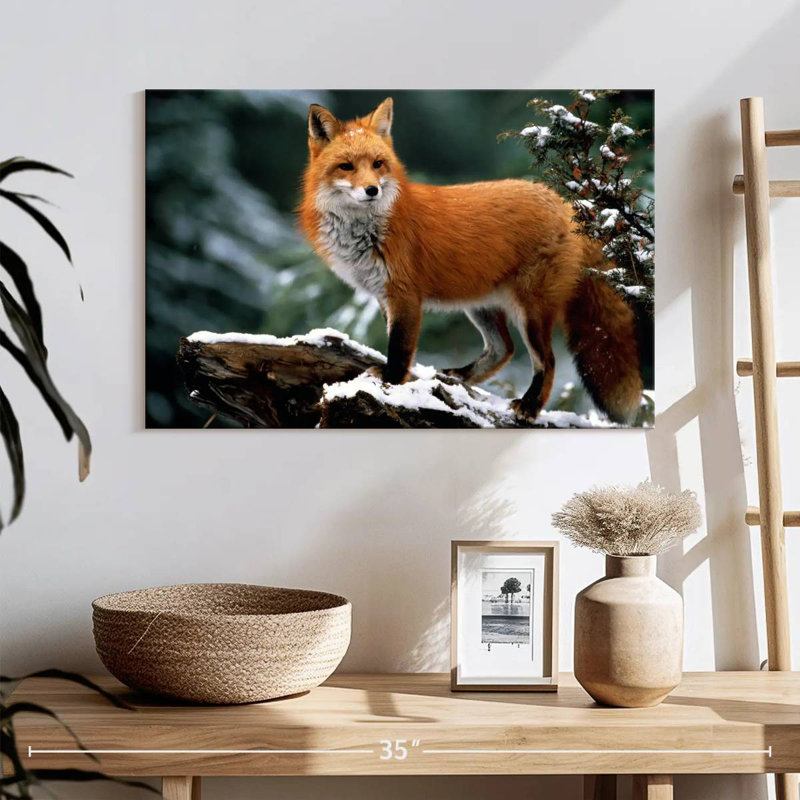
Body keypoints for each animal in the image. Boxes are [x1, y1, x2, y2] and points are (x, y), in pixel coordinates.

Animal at [299, 97, 643, 423]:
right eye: (346, 166)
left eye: (378, 163)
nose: (372, 190)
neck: (367, 231)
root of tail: (566, 204)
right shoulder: (384, 295)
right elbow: (395, 343)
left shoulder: (405, 295)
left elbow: (399, 349)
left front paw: (392, 384)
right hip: (480, 305)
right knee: (503, 349)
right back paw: (459, 377)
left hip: (530, 311)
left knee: (547, 360)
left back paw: (530, 406)